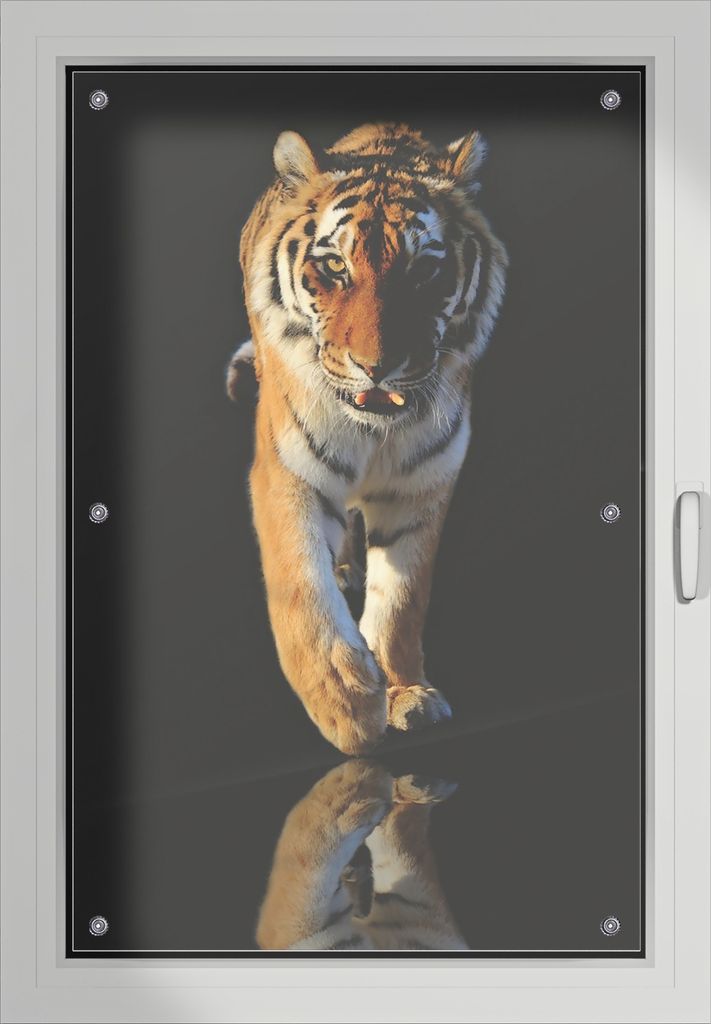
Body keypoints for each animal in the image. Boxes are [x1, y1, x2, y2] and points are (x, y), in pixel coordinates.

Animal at [229, 122, 507, 755]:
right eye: (334, 267)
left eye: (423, 270)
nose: (376, 367)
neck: (377, 432)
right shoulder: (288, 469)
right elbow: (299, 585)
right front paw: (346, 704)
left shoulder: (424, 480)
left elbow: (403, 597)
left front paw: (405, 693)